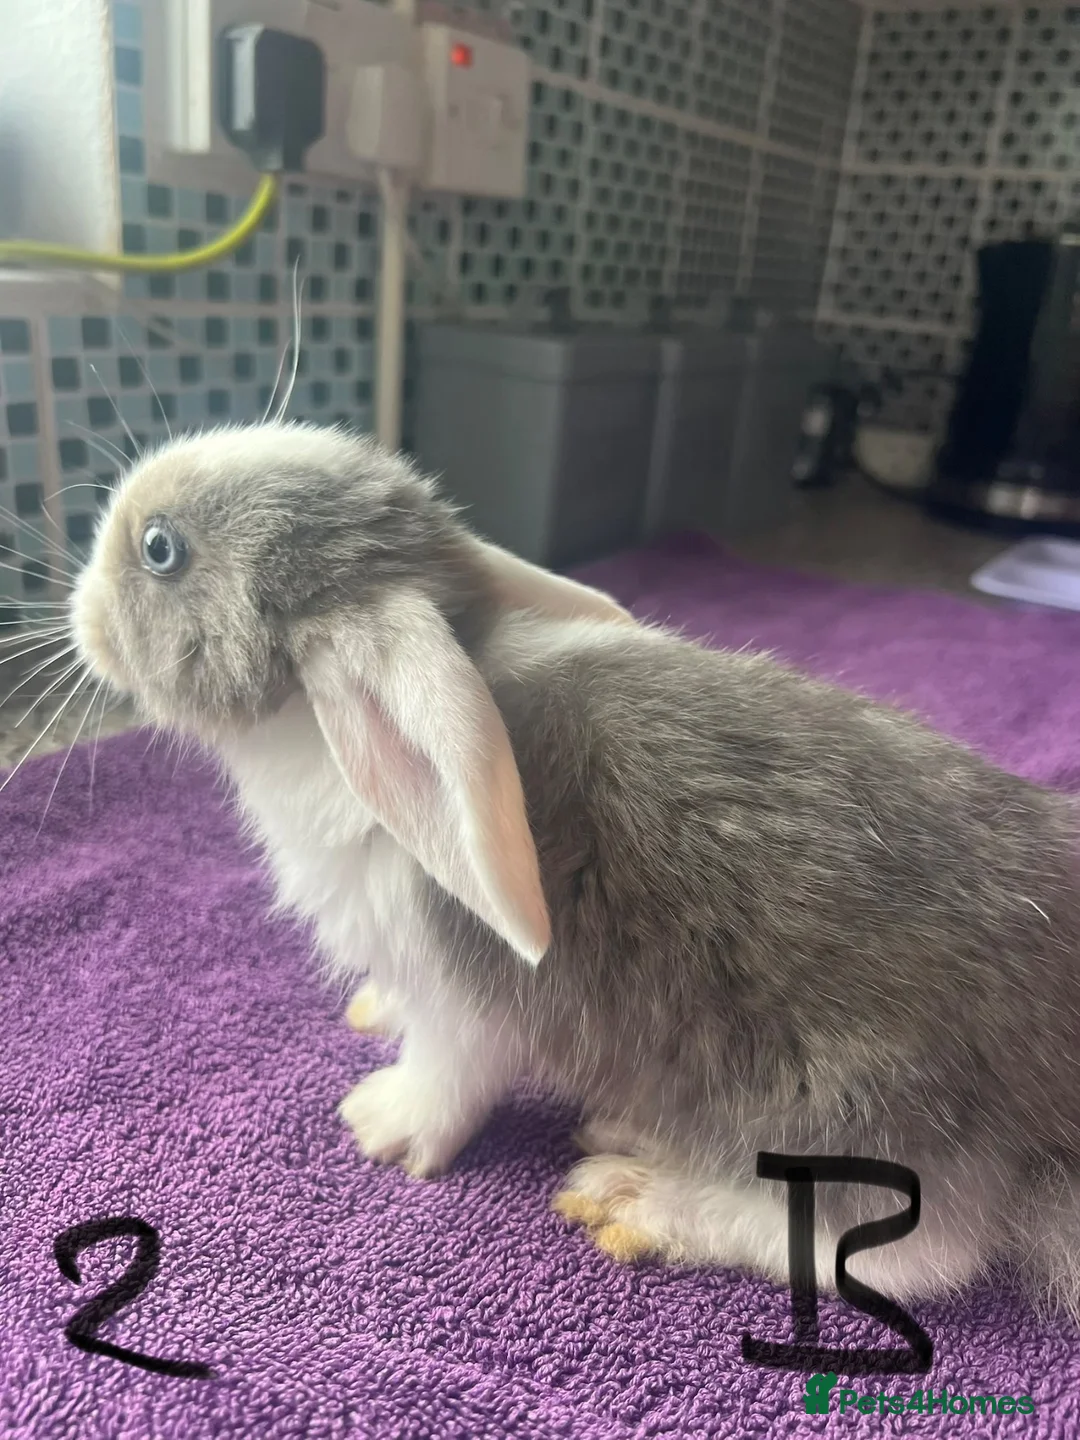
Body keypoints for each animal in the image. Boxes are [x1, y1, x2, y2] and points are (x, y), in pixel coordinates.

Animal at [70, 419, 1080, 1318]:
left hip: (863, 1109)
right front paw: (371, 1014)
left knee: (907, 1253)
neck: (320, 738)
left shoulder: (469, 1003)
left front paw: (381, 1124)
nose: (82, 592)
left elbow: (449, 1075)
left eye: (161, 549)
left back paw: (643, 1196)